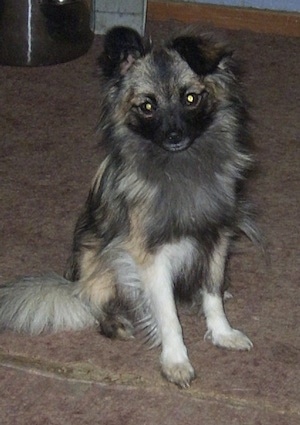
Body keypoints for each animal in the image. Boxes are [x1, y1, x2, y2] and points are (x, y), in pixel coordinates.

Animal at [0, 24, 260, 386]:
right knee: (92, 302)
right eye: (147, 106)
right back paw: (115, 322)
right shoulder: (149, 255)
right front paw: (176, 360)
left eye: (190, 98)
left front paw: (222, 333)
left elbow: (212, 294)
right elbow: (167, 315)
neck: (179, 167)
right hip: (99, 262)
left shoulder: (215, 239)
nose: (174, 136)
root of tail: (71, 282)